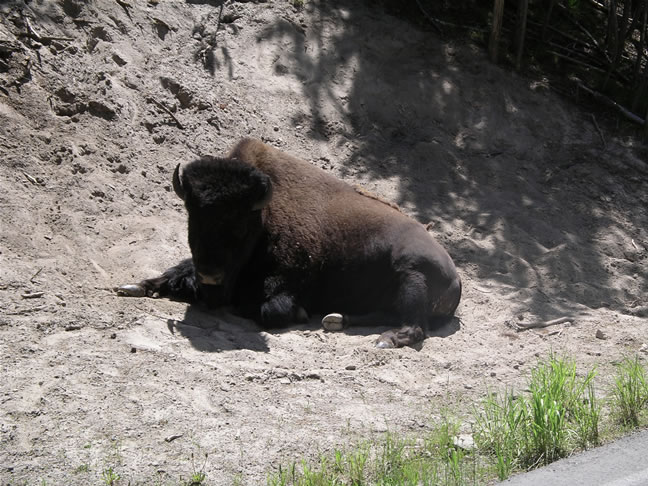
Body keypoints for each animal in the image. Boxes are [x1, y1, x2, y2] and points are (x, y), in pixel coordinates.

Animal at [118, 138, 461, 348]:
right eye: (193, 216)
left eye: (240, 224)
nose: (210, 275)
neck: (266, 216)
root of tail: (455, 276)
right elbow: (175, 270)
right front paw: (136, 286)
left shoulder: (286, 283)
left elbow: (271, 309)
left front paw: (296, 313)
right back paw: (336, 320)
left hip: (411, 272)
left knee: (414, 326)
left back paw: (383, 339)